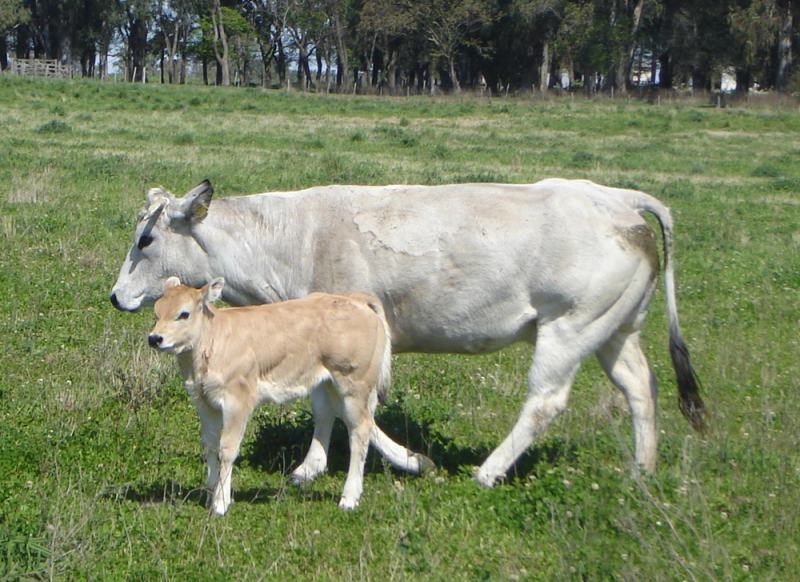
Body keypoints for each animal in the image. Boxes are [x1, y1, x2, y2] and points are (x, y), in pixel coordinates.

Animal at [114, 179, 708, 488]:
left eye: (146, 239)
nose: (117, 296)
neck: (293, 239)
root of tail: (617, 197)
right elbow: (325, 404)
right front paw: (311, 466)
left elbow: (351, 408)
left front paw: (407, 460)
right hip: (613, 330)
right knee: (640, 387)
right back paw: (642, 470)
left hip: (568, 328)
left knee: (545, 401)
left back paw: (488, 470)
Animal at [146, 280, 428, 516]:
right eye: (156, 312)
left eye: (183, 314)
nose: (155, 338)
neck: (211, 343)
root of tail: (354, 299)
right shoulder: (204, 401)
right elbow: (210, 446)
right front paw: (210, 493)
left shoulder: (238, 400)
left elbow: (227, 449)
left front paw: (221, 503)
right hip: (331, 383)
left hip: (354, 385)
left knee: (360, 432)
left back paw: (349, 498)